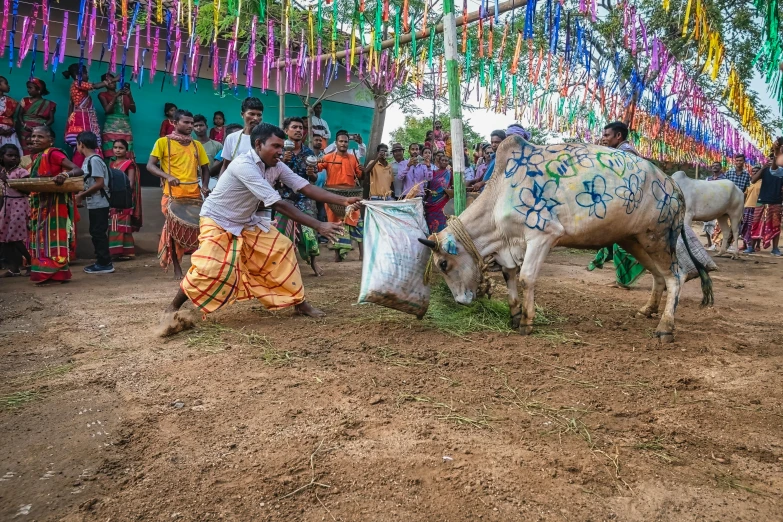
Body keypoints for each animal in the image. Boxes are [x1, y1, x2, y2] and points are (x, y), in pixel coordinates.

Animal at [420, 137, 712, 342]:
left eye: (443, 264)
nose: (461, 301)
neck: (500, 195)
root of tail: (672, 185)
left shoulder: (542, 235)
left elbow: (526, 278)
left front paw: (526, 322)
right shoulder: (509, 246)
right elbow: (509, 275)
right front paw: (514, 315)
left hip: (659, 237)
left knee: (676, 276)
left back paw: (665, 327)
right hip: (634, 240)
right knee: (658, 276)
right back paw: (647, 310)